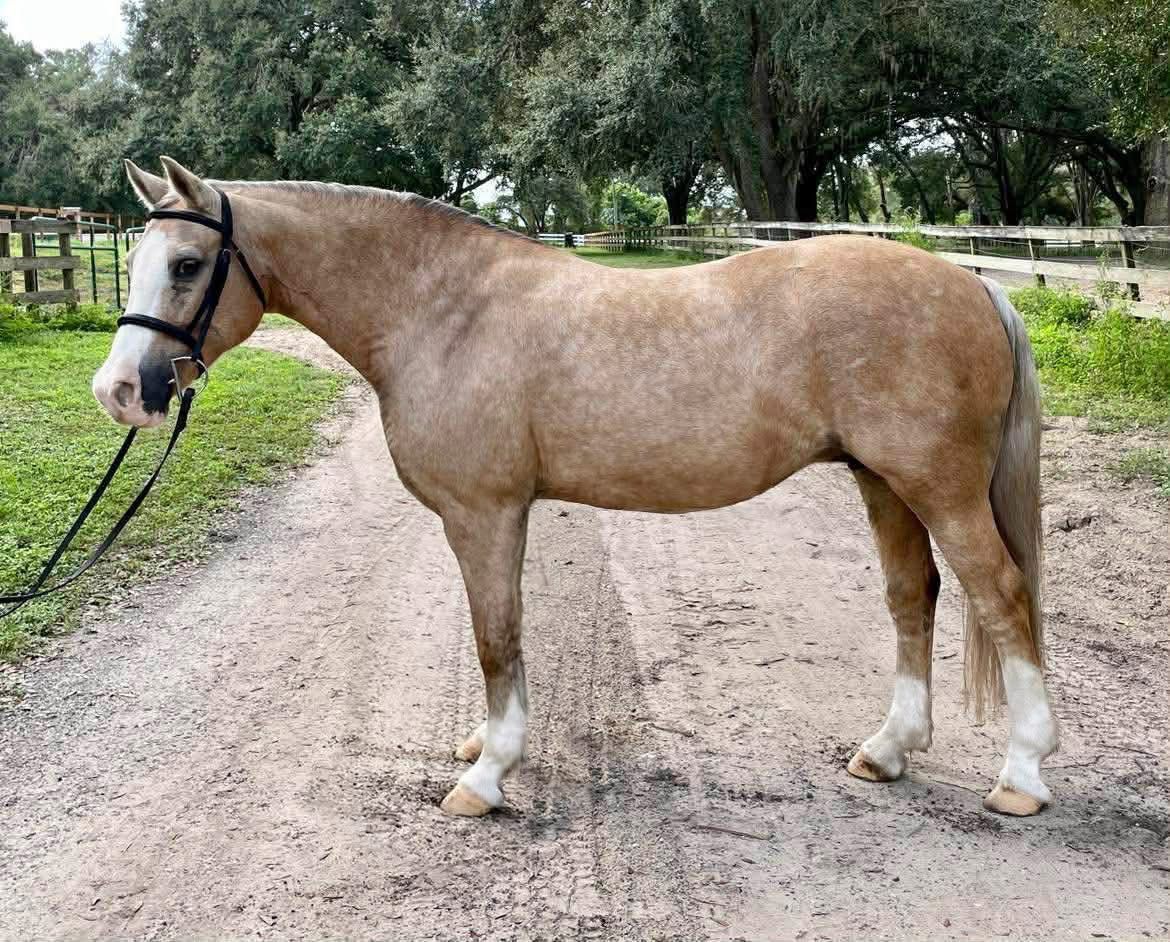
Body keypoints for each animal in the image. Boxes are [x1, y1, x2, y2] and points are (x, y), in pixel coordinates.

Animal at [93, 157, 1058, 818]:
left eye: (187, 265)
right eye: (137, 259)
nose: (119, 391)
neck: (440, 310)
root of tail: (974, 284)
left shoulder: (485, 513)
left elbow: (496, 637)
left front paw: (488, 775)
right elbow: (497, 635)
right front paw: (485, 746)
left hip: (937, 487)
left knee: (1002, 597)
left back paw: (1021, 774)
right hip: (883, 481)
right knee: (913, 595)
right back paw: (890, 750)